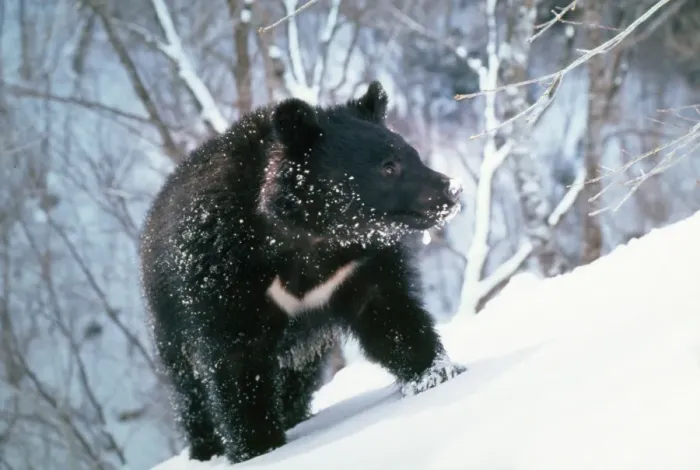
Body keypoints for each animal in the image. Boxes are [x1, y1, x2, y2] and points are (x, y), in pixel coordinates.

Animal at [139, 81, 466, 465]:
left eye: (413, 154)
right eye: (388, 167)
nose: (452, 190)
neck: (306, 238)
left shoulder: (356, 267)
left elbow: (391, 314)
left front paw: (436, 373)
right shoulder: (221, 278)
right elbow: (236, 365)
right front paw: (258, 448)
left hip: (305, 349)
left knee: (297, 375)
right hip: (169, 321)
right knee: (188, 388)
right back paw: (206, 448)